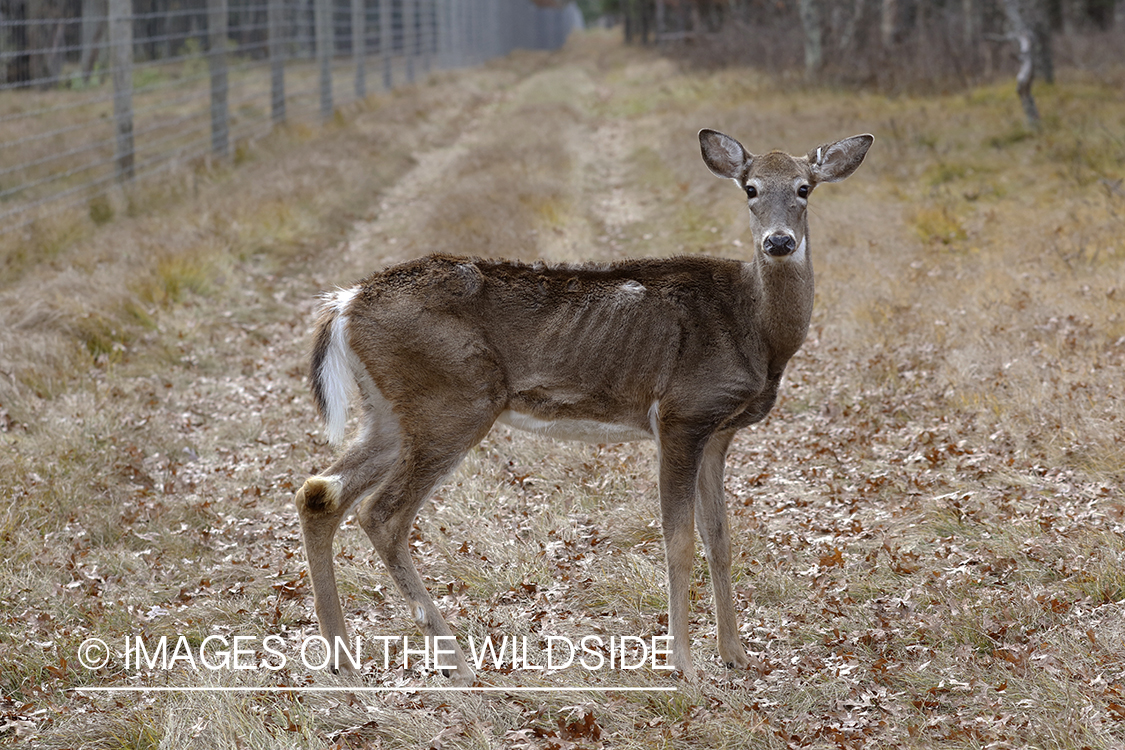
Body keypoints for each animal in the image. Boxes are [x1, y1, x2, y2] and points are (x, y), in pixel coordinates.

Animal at [297, 130, 868, 688]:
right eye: (750, 188)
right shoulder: (680, 415)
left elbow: (721, 540)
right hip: (453, 402)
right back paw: (452, 660)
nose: (779, 242)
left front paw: (736, 657)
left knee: (320, 492)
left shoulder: (719, 432)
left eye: (804, 188)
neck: (758, 329)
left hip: (392, 414)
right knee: (382, 513)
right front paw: (683, 665)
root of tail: (346, 303)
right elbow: (679, 540)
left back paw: (341, 660)